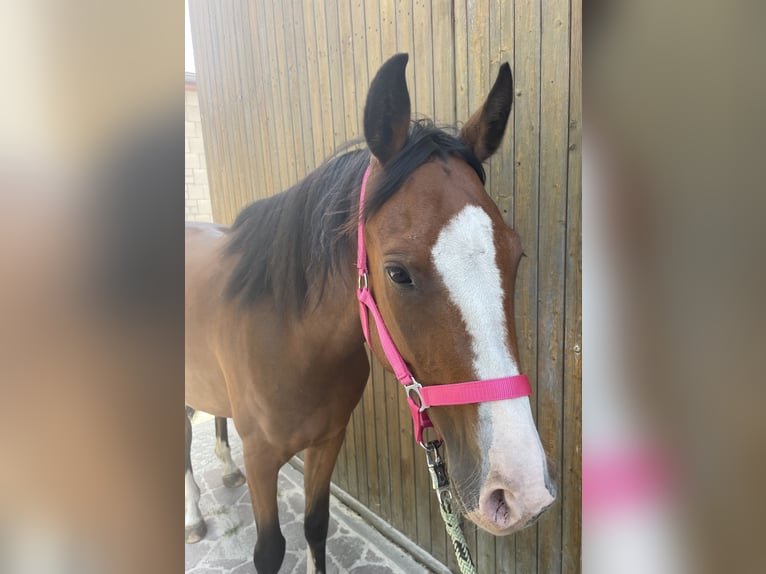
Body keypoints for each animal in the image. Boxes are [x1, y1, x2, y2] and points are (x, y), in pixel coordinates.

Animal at [185, 53, 555, 574]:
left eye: (516, 254)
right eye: (397, 273)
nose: (522, 493)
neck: (287, 340)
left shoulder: (327, 442)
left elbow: (316, 526)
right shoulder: (260, 457)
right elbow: (270, 550)